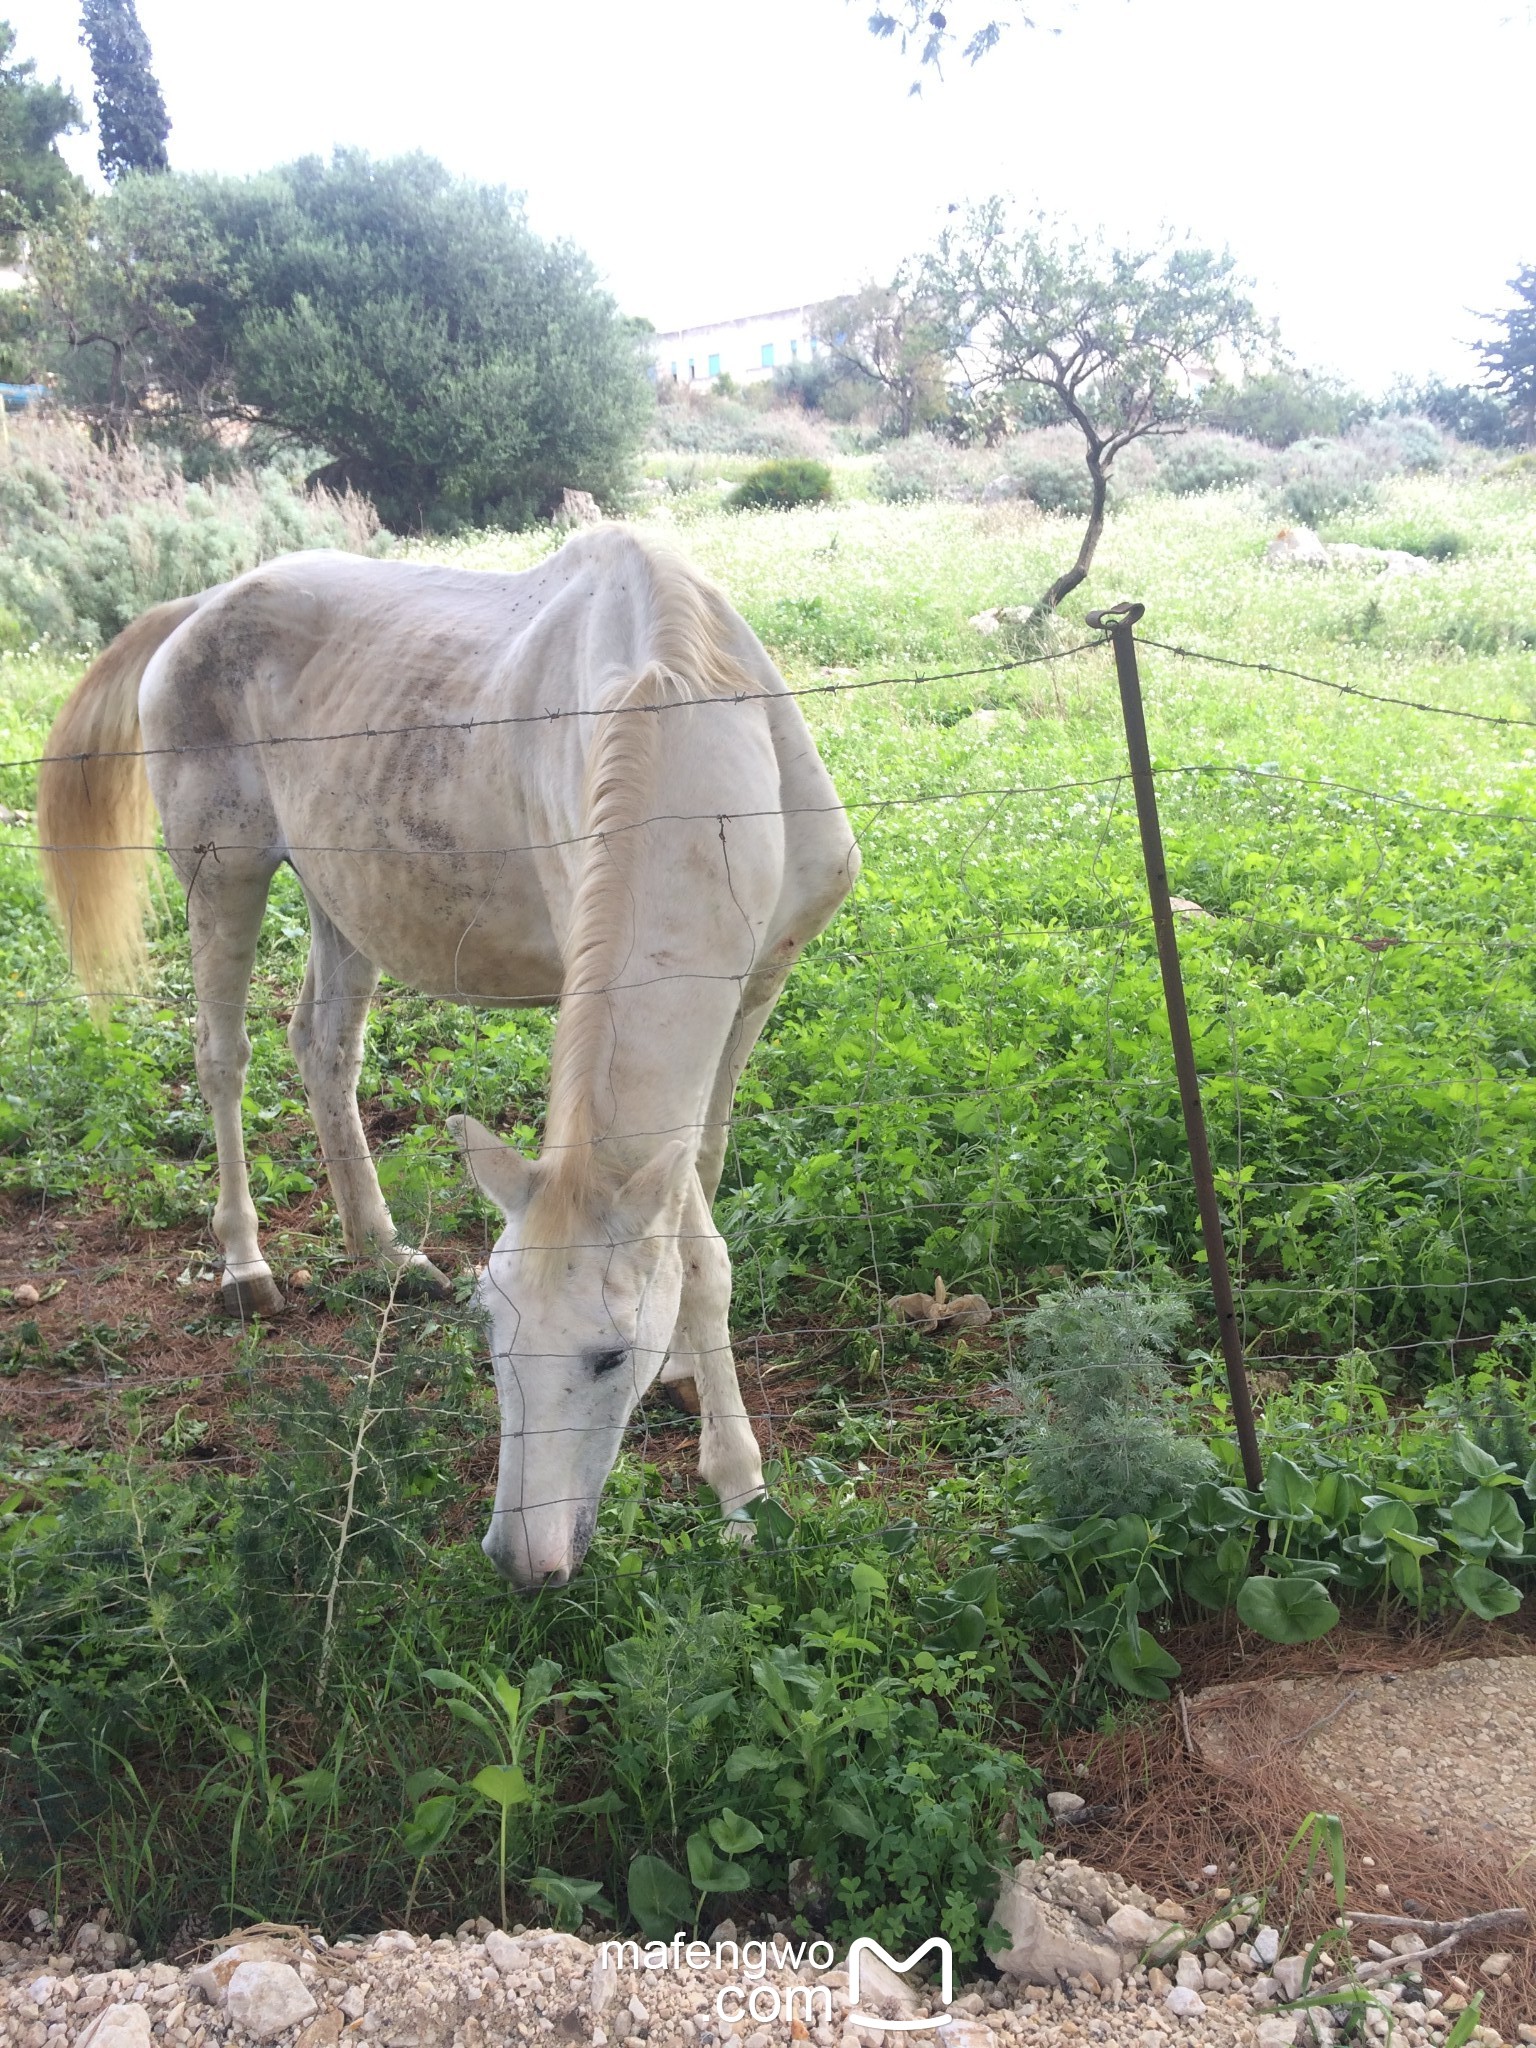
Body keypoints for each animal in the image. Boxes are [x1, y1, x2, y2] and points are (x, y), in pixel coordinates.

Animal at [33, 528, 868, 1581]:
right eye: (493, 1337)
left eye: (608, 1357)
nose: (519, 1557)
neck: (690, 714)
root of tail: (198, 608)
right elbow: (695, 1230)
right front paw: (739, 1485)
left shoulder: (753, 994)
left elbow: (696, 1210)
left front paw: (710, 1424)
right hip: (222, 871)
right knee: (222, 1058)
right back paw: (245, 1269)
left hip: (339, 894)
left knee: (323, 1049)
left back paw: (383, 1252)